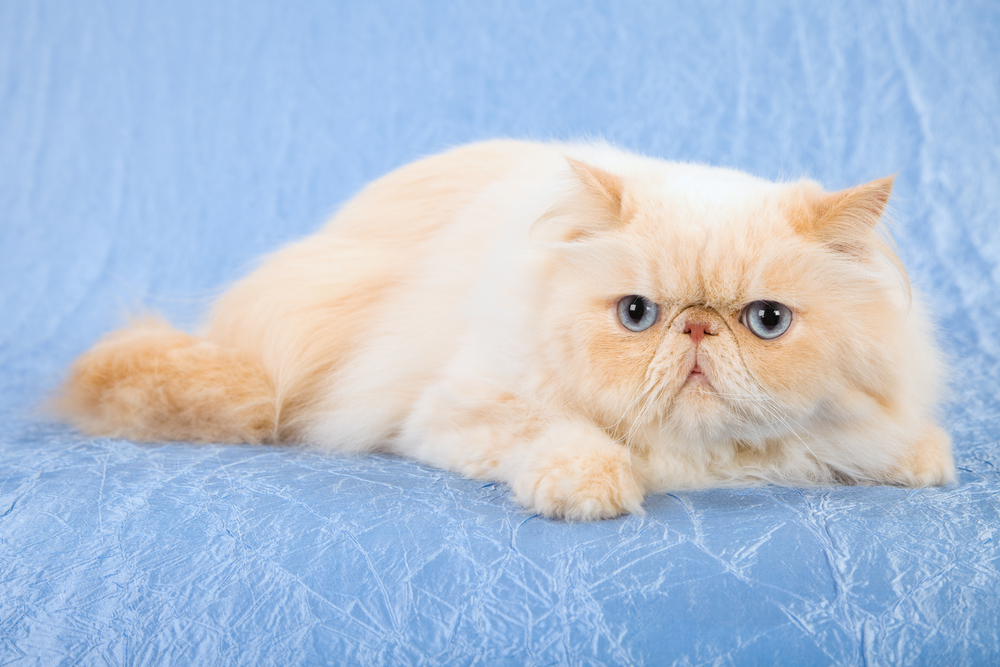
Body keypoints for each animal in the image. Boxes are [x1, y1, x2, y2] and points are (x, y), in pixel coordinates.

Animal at [52, 138, 952, 520]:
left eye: (765, 321)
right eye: (638, 314)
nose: (697, 331)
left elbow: (881, 440)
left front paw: (920, 459)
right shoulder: (461, 407)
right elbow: (563, 435)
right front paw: (590, 490)